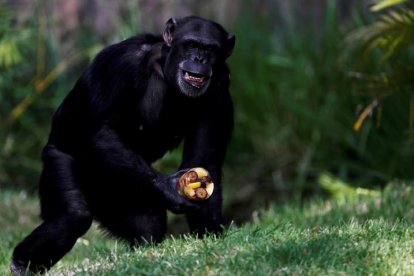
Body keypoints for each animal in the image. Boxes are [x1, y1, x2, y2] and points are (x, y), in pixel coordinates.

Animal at [10, 16, 236, 274]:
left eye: (210, 50)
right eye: (190, 45)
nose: (199, 59)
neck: (164, 69)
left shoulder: (220, 88)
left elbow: (204, 158)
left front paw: (210, 239)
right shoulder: (118, 63)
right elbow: (100, 130)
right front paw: (168, 187)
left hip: (120, 196)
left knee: (148, 225)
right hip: (58, 158)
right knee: (73, 216)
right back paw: (21, 264)